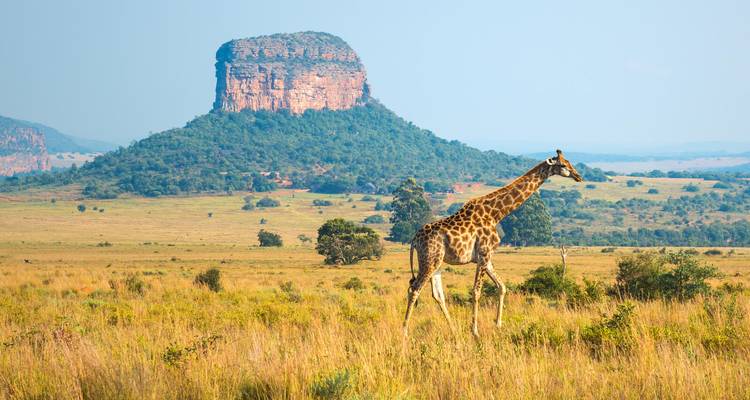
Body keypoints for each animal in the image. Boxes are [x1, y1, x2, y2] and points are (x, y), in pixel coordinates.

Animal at [403, 149, 583, 338]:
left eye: (569, 162)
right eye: (562, 164)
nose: (578, 176)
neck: (496, 214)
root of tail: (414, 239)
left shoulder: (487, 257)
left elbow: (501, 286)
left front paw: (498, 324)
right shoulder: (484, 254)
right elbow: (476, 291)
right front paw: (475, 331)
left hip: (436, 262)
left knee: (437, 295)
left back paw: (453, 329)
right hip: (429, 260)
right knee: (414, 289)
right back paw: (405, 331)